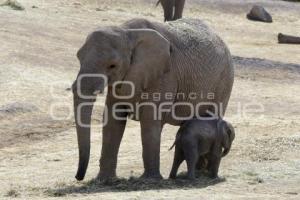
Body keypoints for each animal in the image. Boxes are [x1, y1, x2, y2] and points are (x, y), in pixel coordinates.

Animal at [72, 18, 234, 181]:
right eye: (78, 57)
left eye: (112, 65)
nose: (78, 177)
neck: (128, 33)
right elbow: (113, 121)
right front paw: (105, 180)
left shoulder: (165, 76)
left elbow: (149, 120)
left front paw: (150, 179)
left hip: (224, 81)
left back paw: (202, 173)